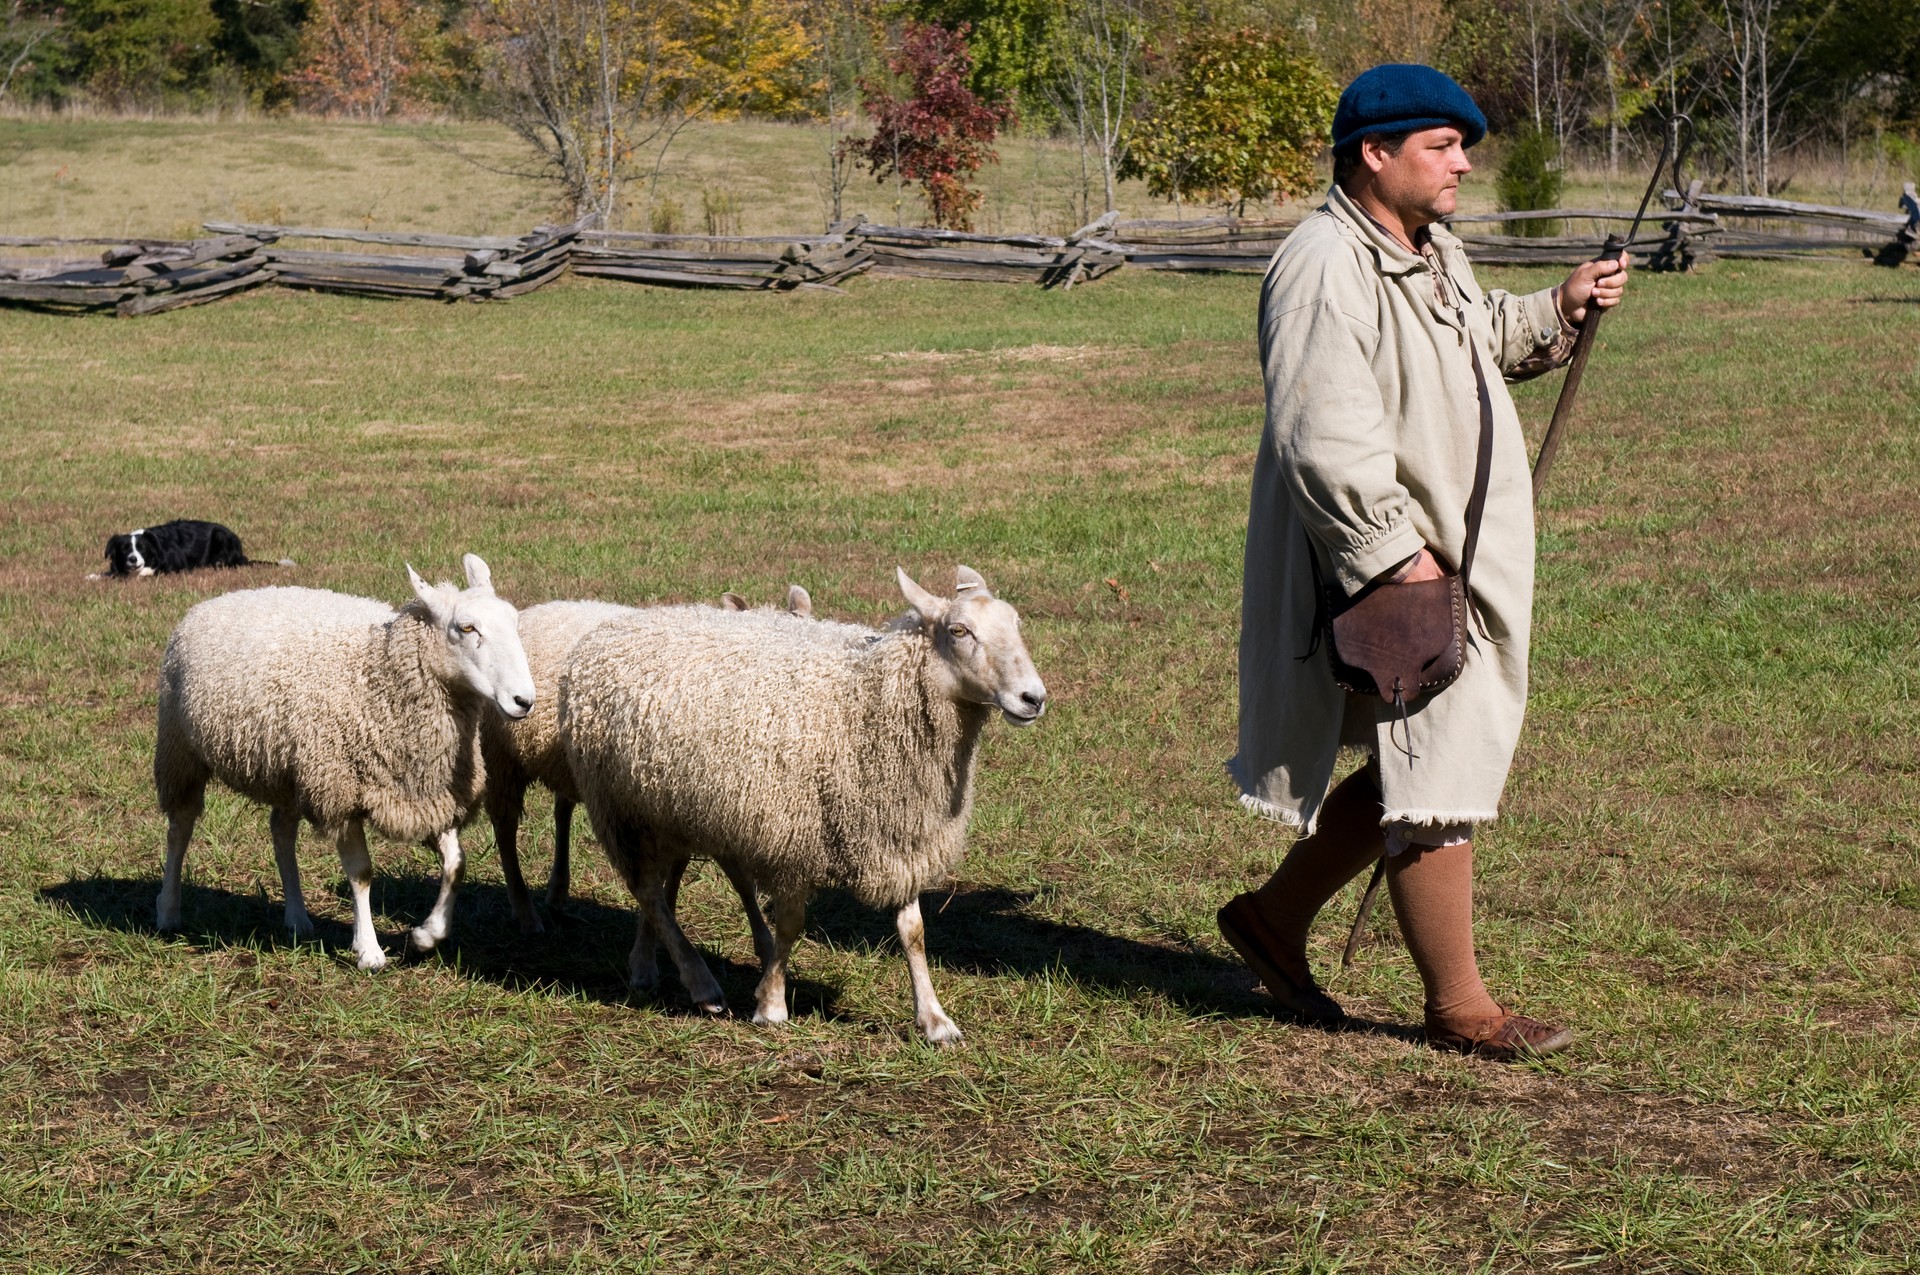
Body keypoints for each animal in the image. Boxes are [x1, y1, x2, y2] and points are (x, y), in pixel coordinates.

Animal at [151, 556, 533, 967]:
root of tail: (216, 600)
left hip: (291, 771)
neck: (377, 673)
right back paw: (168, 911)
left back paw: (297, 917)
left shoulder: (428, 793)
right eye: (466, 627)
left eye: (513, 621)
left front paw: (427, 935)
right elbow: (361, 873)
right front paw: (368, 949)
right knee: (180, 828)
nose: (524, 701)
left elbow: (456, 863)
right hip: (179, 748)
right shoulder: (341, 792)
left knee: (281, 834)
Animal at [560, 568, 1044, 1044]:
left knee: (661, 887)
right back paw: (700, 984)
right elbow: (791, 923)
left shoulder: (898, 833)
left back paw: (647, 965)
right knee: (647, 890)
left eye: (1016, 624)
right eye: (959, 631)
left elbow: (914, 933)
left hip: (669, 806)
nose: (1033, 698)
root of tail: (617, 625)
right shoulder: (791, 836)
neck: (865, 700)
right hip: (621, 807)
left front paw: (934, 1020)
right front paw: (772, 1004)